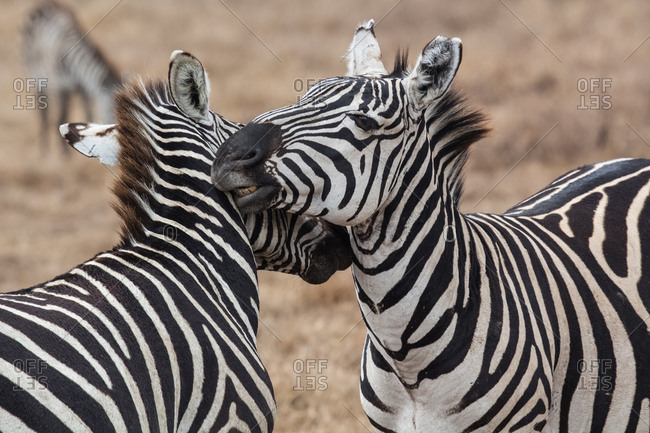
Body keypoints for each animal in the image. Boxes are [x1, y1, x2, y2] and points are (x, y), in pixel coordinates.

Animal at [22, 1, 122, 154]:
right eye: (113, 110)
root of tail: (44, 3)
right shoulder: (61, 86)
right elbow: (60, 119)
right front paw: (65, 156)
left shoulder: (83, 89)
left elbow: (88, 116)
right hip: (37, 75)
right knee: (44, 114)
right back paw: (44, 152)